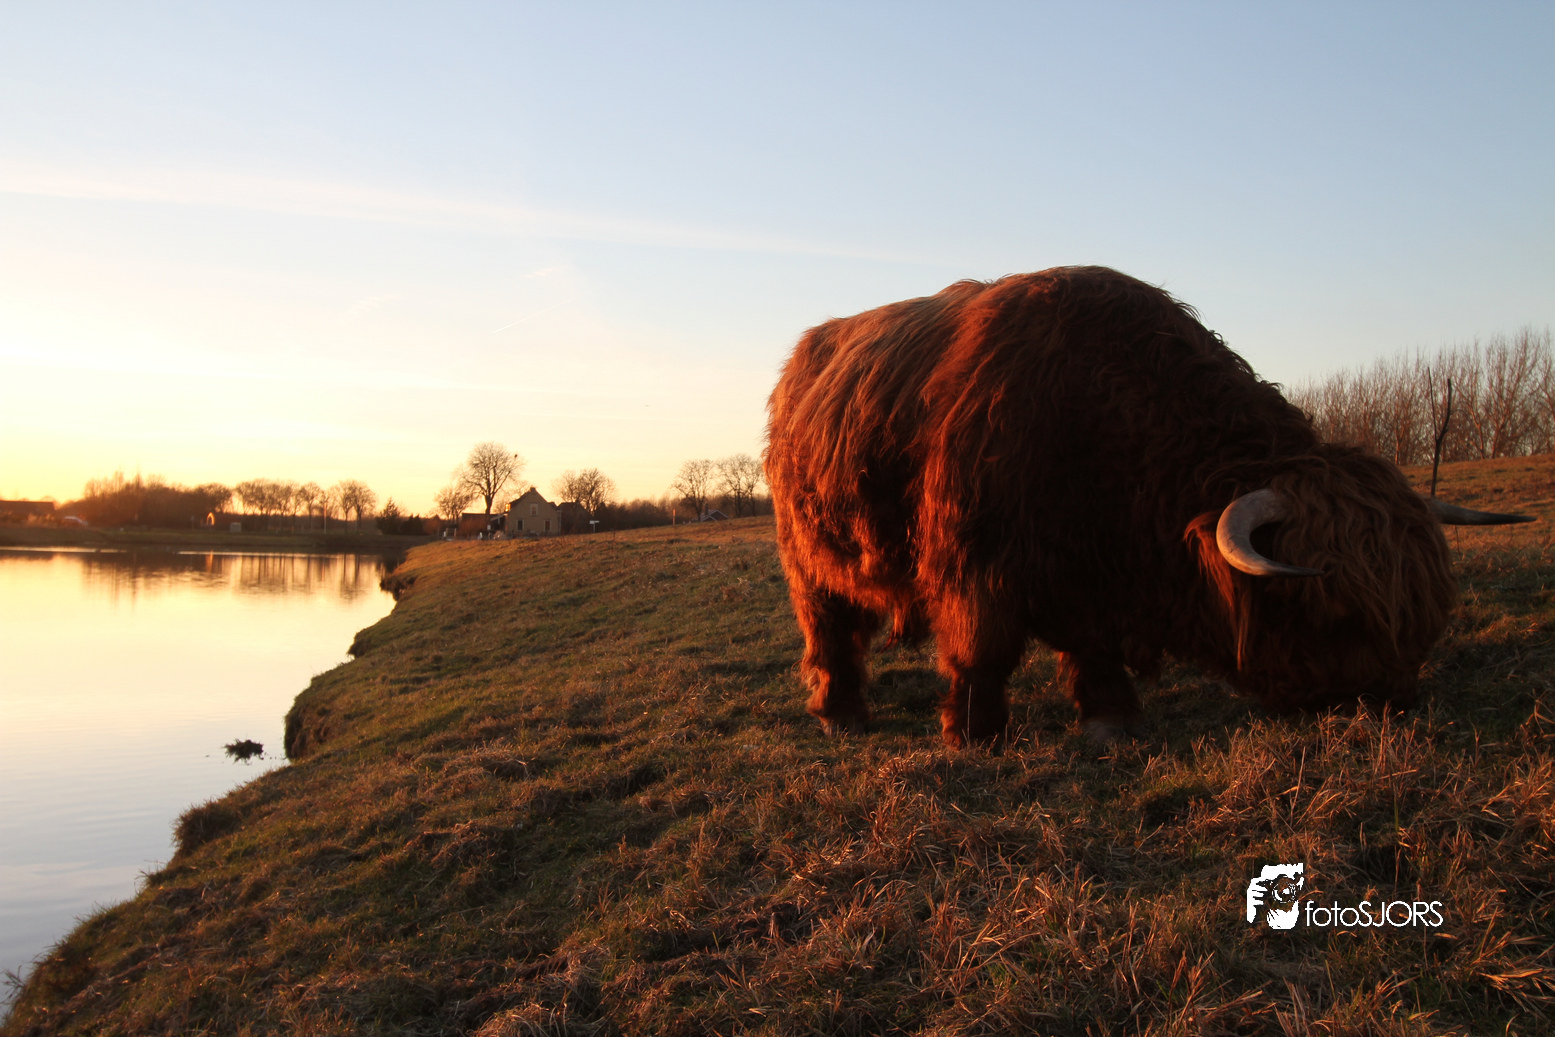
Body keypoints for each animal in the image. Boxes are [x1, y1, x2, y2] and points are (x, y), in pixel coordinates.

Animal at [763, 266, 1531, 747]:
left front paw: (1113, 722)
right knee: (828, 628)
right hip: (807, 553)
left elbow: (1093, 649)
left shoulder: (1089, 574)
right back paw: (840, 713)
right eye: (1334, 611)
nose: (1397, 695)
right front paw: (974, 735)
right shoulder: (975, 560)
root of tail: (804, 356)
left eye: (1419, 606)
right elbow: (982, 648)